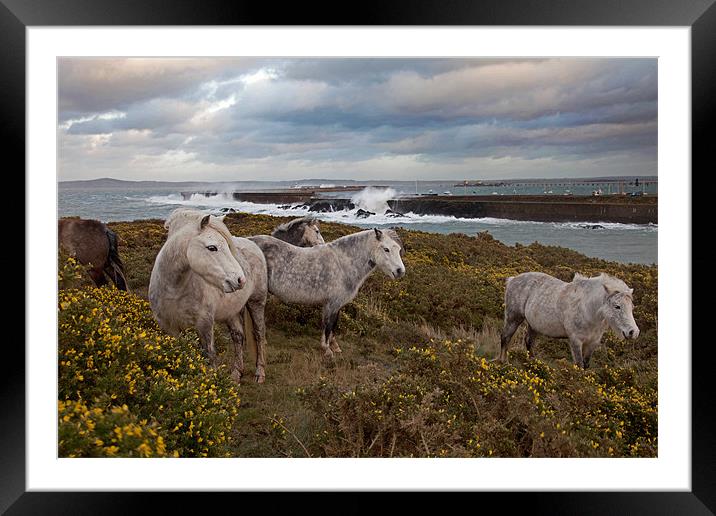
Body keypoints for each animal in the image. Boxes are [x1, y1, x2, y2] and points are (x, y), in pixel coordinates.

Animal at [148, 210, 268, 382]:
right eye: (212, 247)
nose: (241, 280)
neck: (174, 290)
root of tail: (254, 245)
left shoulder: (204, 323)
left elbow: (209, 355)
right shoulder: (169, 327)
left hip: (256, 302)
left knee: (259, 334)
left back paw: (260, 373)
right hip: (231, 311)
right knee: (238, 336)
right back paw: (236, 373)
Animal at [250, 228, 408, 356]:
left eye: (398, 249)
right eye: (386, 249)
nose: (400, 271)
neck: (343, 263)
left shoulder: (336, 305)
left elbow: (333, 325)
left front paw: (335, 347)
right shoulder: (331, 304)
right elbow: (328, 325)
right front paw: (327, 350)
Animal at [500, 272, 640, 368]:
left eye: (632, 307)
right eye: (617, 306)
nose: (633, 332)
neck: (588, 310)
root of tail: (512, 280)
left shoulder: (592, 343)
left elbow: (586, 364)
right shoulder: (576, 341)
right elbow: (579, 364)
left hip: (533, 325)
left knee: (529, 342)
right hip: (513, 319)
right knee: (505, 337)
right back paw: (503, 362)